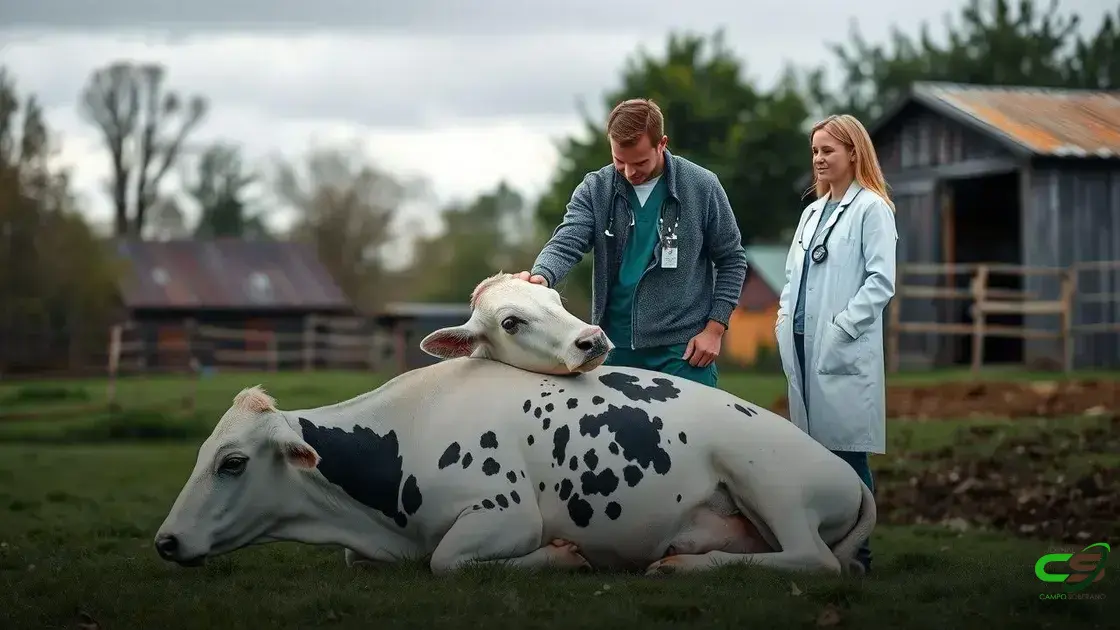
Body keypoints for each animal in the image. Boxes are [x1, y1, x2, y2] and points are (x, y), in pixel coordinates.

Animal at [153, 275, 876, 577]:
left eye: (233, 462)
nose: (165, 540)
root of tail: (848, 473)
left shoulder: (504, 513)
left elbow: (447, 561)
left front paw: (560, 556)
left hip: (766, 477)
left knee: (812, 559)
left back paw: (685, 567)